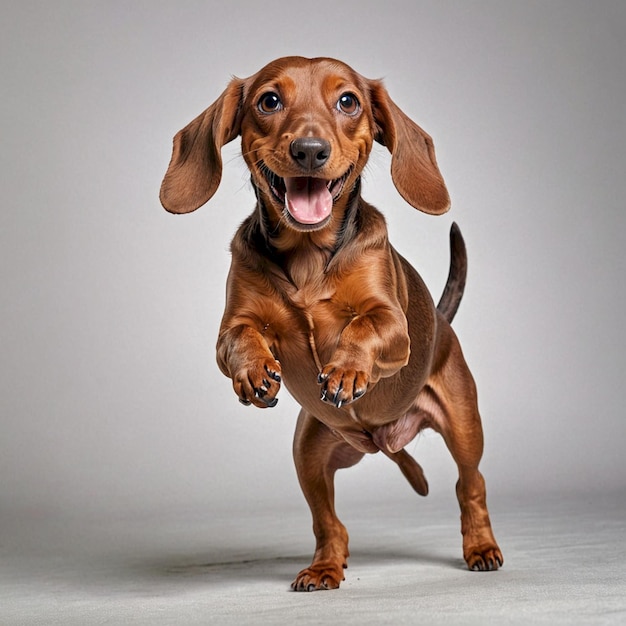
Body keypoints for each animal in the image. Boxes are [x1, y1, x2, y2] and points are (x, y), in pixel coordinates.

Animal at [161, 56, 502, 588]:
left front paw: (346, 369)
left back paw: (481, 545)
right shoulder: (230, 328)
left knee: (472, 485)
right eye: (269, 100)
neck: (308, 256)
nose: (309, 150)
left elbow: (364, 327)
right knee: (329, 523)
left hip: (465, 427)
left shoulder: (394, 327)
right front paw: (254, 371)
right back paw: (323, 566)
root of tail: (380, 441)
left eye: (348, 101)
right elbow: (240, 338)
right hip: (308, 452)